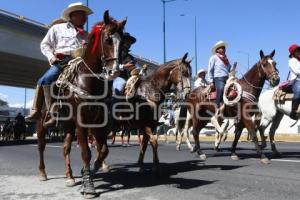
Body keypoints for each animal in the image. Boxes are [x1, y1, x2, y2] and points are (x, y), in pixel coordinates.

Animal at [35, 10, 126, 198]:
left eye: (123, 42)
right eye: (108, 39)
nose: (114, 71)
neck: (88, 80)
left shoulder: (99, 123)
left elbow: (103, 150)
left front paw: (93, 169)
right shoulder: (82, 122)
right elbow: (86, 153)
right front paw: (89, 186)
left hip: (68, 125)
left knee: (65, 148)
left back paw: (69, 176)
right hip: (42, 122)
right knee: (41, 146)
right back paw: (42, 173)